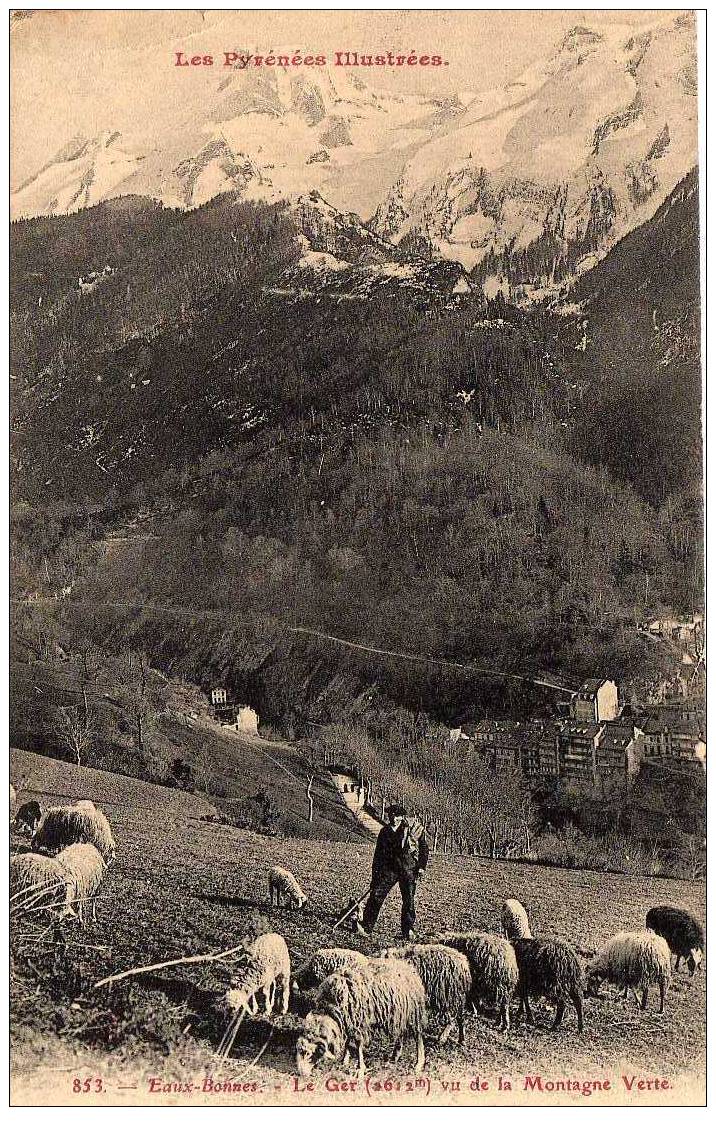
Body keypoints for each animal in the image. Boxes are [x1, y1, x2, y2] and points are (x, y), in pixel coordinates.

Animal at [294, 959, 425, 1080]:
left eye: (308, 1053)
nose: (301, 1074)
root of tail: (409, 968)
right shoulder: (347, 1021)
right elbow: (347, 1041)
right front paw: (345, 1060)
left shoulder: (358, 1022)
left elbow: (357, 1045)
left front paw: (360, 1068)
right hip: (399, 1013)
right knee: (400, 1032)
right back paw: (395, 1056)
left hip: (413, 1011)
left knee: (417, 1035)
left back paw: (418, 1064)